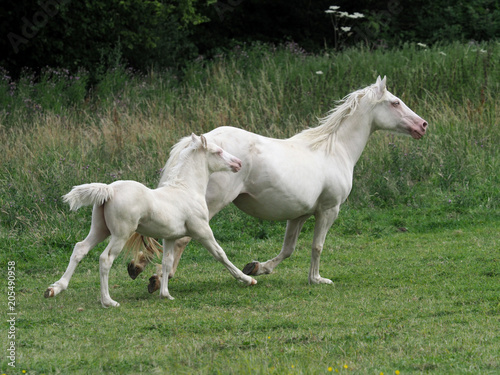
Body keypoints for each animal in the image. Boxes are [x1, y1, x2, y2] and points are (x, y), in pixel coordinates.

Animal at [45, 135, 258, 308]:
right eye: (218, 151)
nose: (238, 163)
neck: (186, 189)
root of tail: (110, 189)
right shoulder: (202, 231)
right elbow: (220, 254)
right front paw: (247, 279)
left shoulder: (169, 237)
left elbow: (167, 261)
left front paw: (165, 294)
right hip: (120, 234)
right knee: (105, 259)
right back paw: (108, 301)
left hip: (100, 229)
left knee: (80, 248)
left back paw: (55, 288)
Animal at [128, 75, 426, 290]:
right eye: (395, 102)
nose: (422, 125)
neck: (333, 150)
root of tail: (196, 143)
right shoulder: (328, 210)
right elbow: (317, 246)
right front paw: (317, 279)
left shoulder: (299, 214)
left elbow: (288, 249)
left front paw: (258, 267)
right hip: (208, 206)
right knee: (180, 240)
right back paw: (157, 278)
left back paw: (139, 267)